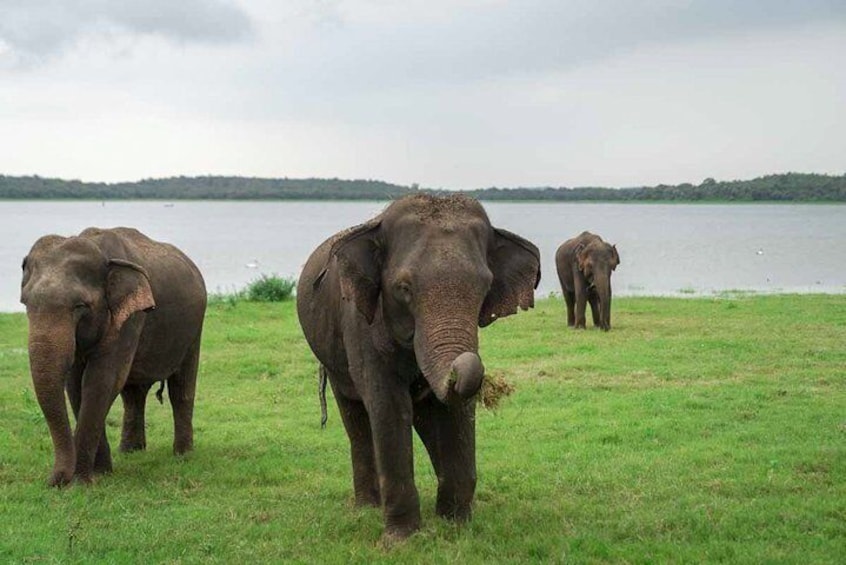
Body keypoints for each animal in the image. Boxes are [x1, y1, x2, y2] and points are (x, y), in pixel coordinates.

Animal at [20, 227, 207, 486]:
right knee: (133, 394)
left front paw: (81, 482)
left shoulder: (130, 318)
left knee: (181, 388)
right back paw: (130, 451)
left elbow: (101, 380)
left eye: (80, 306)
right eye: (25, 303)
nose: (55, 482)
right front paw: (100, 473)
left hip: (193, 329)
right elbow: (75, 384)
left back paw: (182, 454)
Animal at [297, 194, 540, 540]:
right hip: (332, 358)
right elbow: (388, 406)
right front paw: (401, 540)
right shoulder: (360, 323)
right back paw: (367, 507)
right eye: (404, 288)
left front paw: (455, 526)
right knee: (356, 419)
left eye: (485, 287)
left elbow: (456, 410)